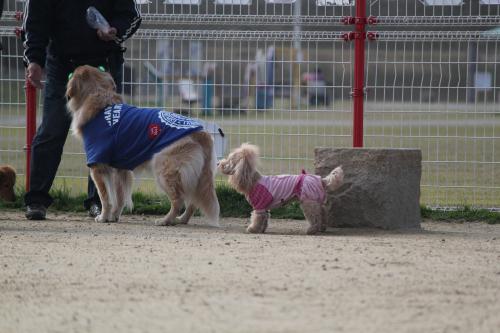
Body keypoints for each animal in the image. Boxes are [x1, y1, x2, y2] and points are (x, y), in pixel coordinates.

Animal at [66, 65, 219, 226]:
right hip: (195, 176)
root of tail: (202, 132)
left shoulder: (98, 166)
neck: (100, 101)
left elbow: (105, 197)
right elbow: (119, 197)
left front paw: (103, 217)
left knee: (179, 201)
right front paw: (114, 216)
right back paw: (182, 219)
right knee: (193, 201)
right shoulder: (119, 168)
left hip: (164, 170)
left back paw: (166, 220)